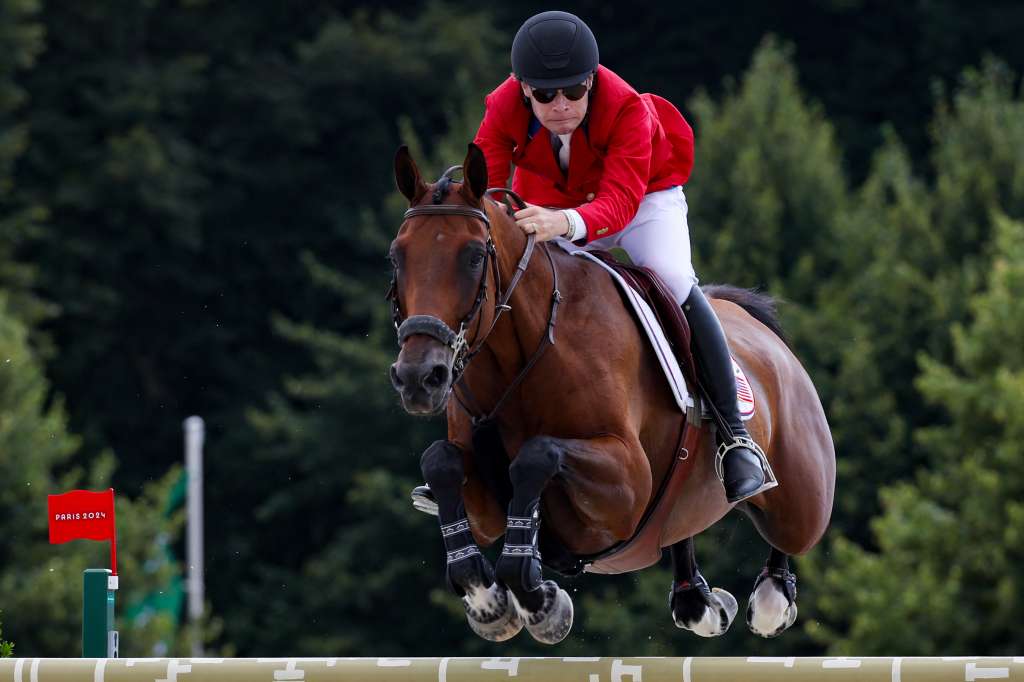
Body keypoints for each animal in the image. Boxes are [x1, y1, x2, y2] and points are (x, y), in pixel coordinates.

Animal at [387, 143, 835, 644]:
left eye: (471, 256)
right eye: (396, 257)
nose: (418, 377)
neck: (522, 356)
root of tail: (771, 341)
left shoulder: (626, 488)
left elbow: (537, 455)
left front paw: (536, 598)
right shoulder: (484, 506)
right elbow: (441, 461)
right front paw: (487, 598)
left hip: (802, 501)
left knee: (791, 536)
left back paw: (771, 592)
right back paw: (696, 600)